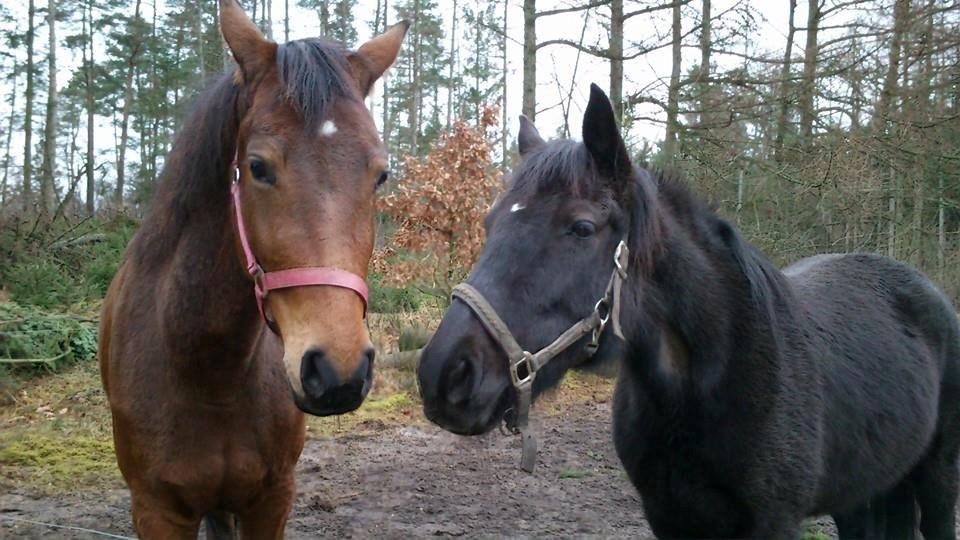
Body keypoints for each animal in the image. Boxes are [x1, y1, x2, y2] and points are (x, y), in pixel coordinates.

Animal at [100, 2, 404, 536]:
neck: (208, 370)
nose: (338, 371)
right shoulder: (155, 510)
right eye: (258, 167)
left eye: (380, 174)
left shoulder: (271, 499)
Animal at [418, 82, 960, 536]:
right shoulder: (669, 515)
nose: (445, 374)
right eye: (489, 222)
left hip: (937, 484)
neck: (711, 378)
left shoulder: (775, 521)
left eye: (582, 228)